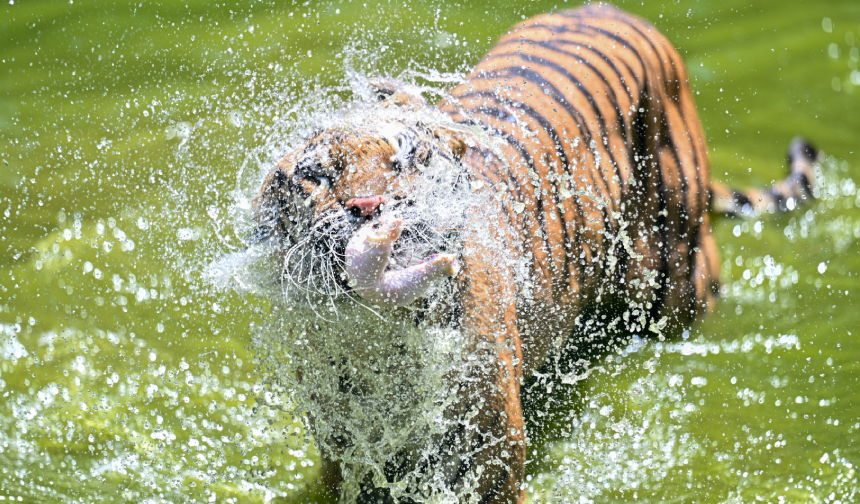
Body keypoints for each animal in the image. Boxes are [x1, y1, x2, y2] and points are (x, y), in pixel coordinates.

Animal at [250, 3, 820, 504]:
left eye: (408, 159)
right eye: (315, 175)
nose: (368, 208)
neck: (381, 340)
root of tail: (613, 11)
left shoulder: (486, 459)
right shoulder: (343, 455)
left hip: (672, 280)